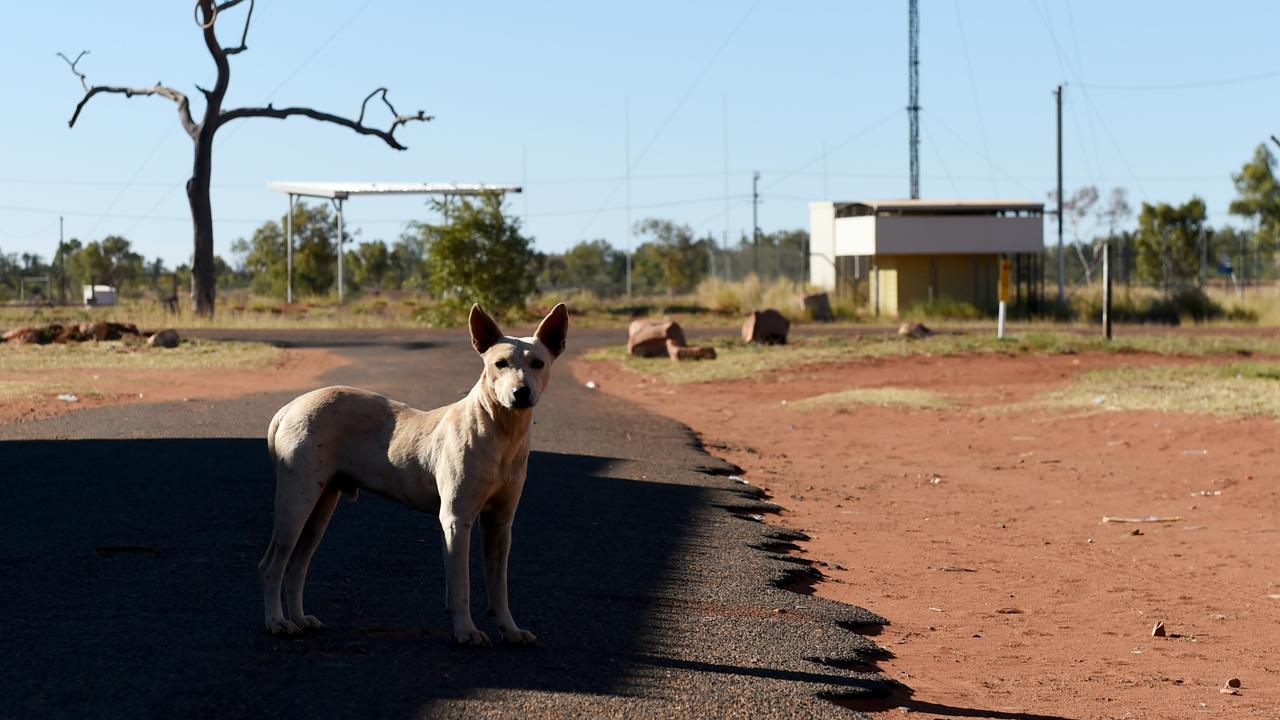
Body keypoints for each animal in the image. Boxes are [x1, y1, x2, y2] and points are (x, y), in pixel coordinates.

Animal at [257, 299, 568, 640]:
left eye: (537, 363)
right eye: (500, 364)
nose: (521, 393)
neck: (501, 431)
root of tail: (289, 407)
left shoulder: (500, 523)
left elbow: (499, 586)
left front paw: (510, 630)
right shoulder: (456, 520)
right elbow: (461, 586)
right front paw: (466, 631)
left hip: (321, 505)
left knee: (297, 566)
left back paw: (300, 619)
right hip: (295, 503)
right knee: (272, 565)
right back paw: (276, 621)